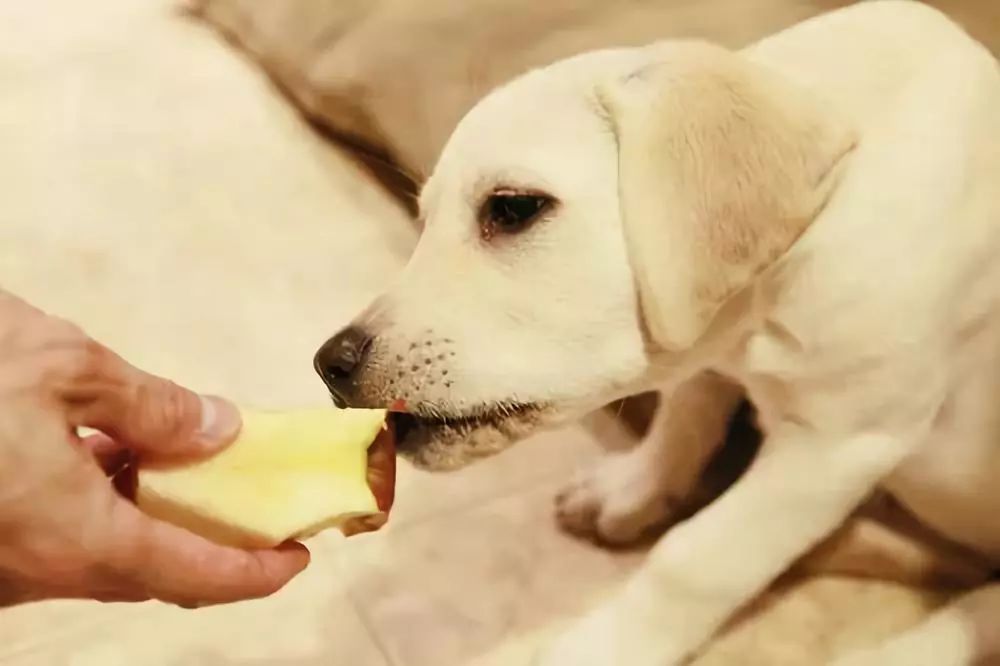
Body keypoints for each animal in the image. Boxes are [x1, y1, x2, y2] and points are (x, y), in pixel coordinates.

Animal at [314, 2, 1000, 660]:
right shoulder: (708, 349)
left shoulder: (837, 444)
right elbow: (684, 416)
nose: (329, 365)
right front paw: (630, 490)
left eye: (512, 209)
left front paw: (599, 649)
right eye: (423, 219)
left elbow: (693, 562)